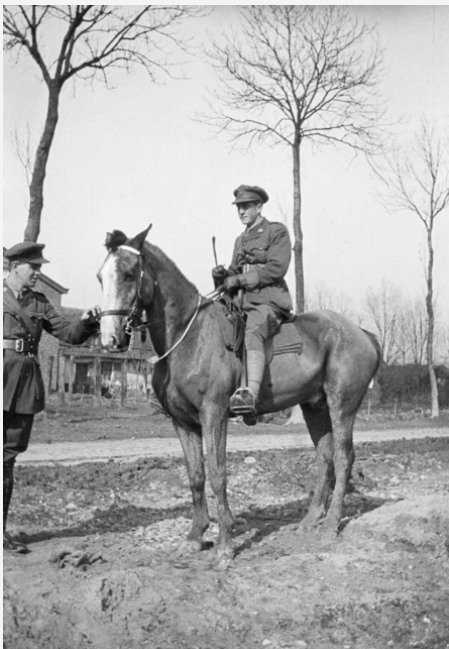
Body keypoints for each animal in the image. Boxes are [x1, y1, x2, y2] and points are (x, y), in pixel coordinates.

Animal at [96, 228, 380, 568]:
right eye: (100, 276)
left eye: (128, 273)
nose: (110, 339)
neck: (188, 336)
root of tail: (364, 334)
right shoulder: (182, 422)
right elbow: (196, 476)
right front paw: (195, 537)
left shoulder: (214, 416)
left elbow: (218, 475)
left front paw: (225, 546)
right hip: (315, 407)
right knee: (324, 457)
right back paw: (310, 521)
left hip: (342, 406)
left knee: (342, 458)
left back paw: (331, 525)